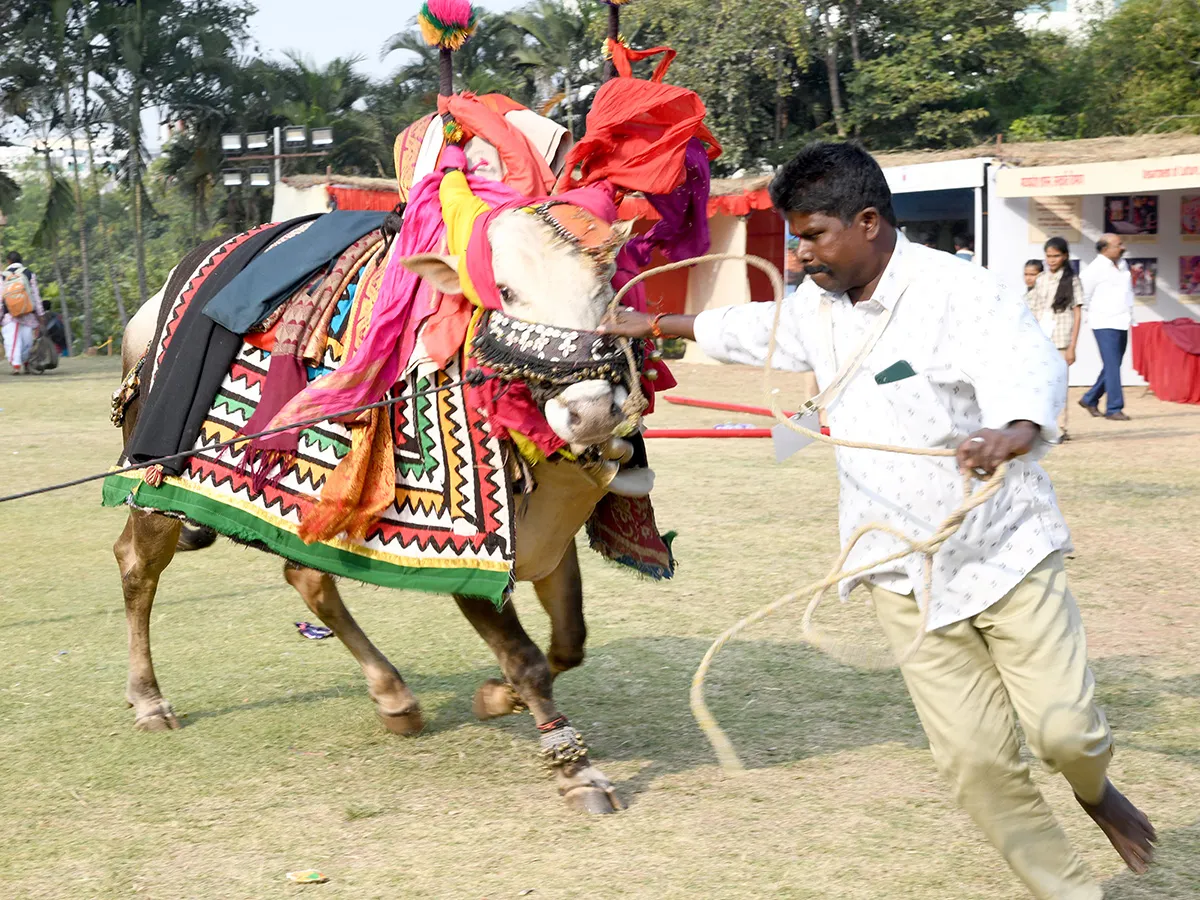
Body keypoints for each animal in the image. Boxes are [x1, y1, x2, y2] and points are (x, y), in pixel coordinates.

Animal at [103, 0, 715, 816]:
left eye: (609, 286)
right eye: (503, 291)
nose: (588, 414)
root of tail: (150, 310)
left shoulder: (554, 533)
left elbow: (568, 643)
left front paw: (495, 699)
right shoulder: (472, 553)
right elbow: (527, 655)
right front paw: (573, 765)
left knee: (309, 579)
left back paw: (393, 696)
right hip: (161, 479)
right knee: (138, 565)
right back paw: (148, 698)